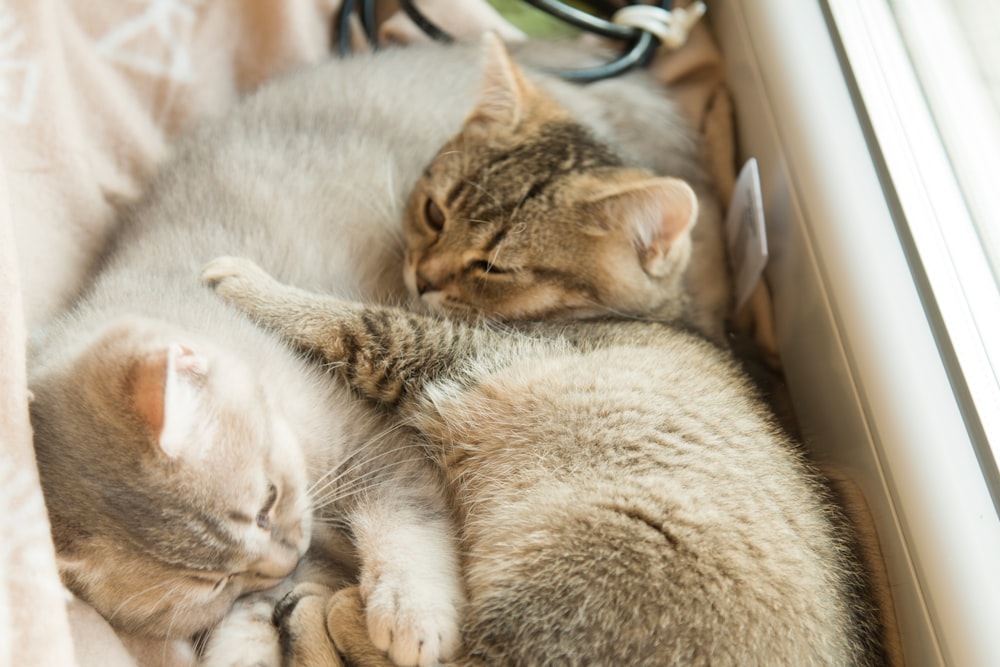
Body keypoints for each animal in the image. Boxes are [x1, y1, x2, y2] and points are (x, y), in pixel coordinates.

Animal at [29, 34, 728, 664]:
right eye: (214, 581)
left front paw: (411, 614)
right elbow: (243, 625)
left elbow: (406, 529)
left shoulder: (389, 445)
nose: (285, 556)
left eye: (267, 501)